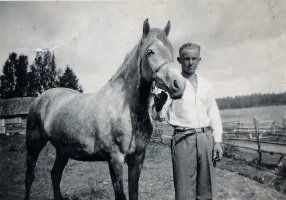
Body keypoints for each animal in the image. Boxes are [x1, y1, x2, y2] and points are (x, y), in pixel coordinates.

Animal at [24, 19, 185, 200]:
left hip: (62, 150)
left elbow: (134, 192)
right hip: (34, 145)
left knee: (55, 175)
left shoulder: (137, 158)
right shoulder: (115, 159)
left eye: (171, 51)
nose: (178, 85)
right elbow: (120, 194)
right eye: (150, 51)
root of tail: (40, 98)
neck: (127, 110)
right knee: (30, 177)